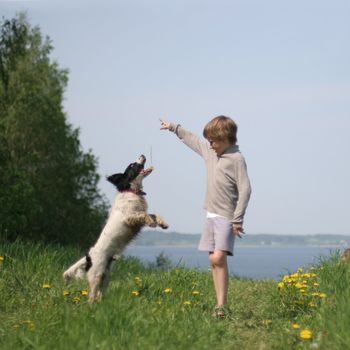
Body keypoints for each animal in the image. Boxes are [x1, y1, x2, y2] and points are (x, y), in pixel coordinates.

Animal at [63, 154, 169, 302]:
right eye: (132, 165)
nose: (142, 155)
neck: (130, 190)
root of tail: (89, 256)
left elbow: (153, 214)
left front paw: (163, 223)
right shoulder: (129, 217)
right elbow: (144, 215)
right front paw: (151, 222)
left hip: (106, 276)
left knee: (100, 293)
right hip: (96, 275)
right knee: (91, 295)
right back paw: (91, 305)